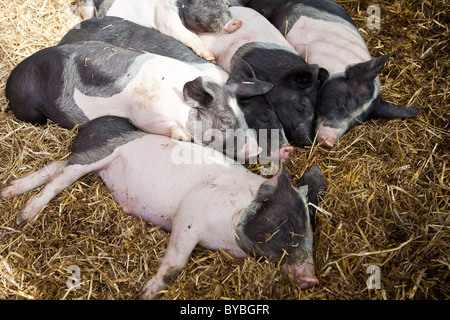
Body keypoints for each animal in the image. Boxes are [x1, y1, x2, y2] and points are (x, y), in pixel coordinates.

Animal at [4, 40, 264, 160]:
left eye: (243, 116)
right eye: (227, 121)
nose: (257, 148)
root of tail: (8, 84)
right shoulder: (144, 114)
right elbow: (165, 128)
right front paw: (184, 136)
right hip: (29, 108)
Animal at [77, 0, 243, 62]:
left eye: (226, 4)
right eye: (206, 3)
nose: (237, 22)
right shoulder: (166, 19)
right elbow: (189, 35)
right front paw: (210, 58)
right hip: (86, 6)